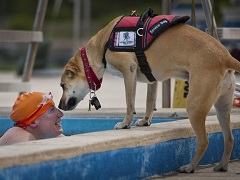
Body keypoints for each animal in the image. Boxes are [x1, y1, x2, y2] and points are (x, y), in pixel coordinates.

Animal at [58, 15, 240, 173]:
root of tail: (226, 56)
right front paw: (145, 121)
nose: (59, 106)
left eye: (62, 86)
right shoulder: (152, 79)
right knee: (229, 138)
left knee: (203, 141)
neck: (103, 43)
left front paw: (125, 124)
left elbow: (129, 103)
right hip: (222, 106)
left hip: (195, 106)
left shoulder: (129, 70)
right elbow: (149, 102)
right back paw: (222, 165)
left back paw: (190, 167)